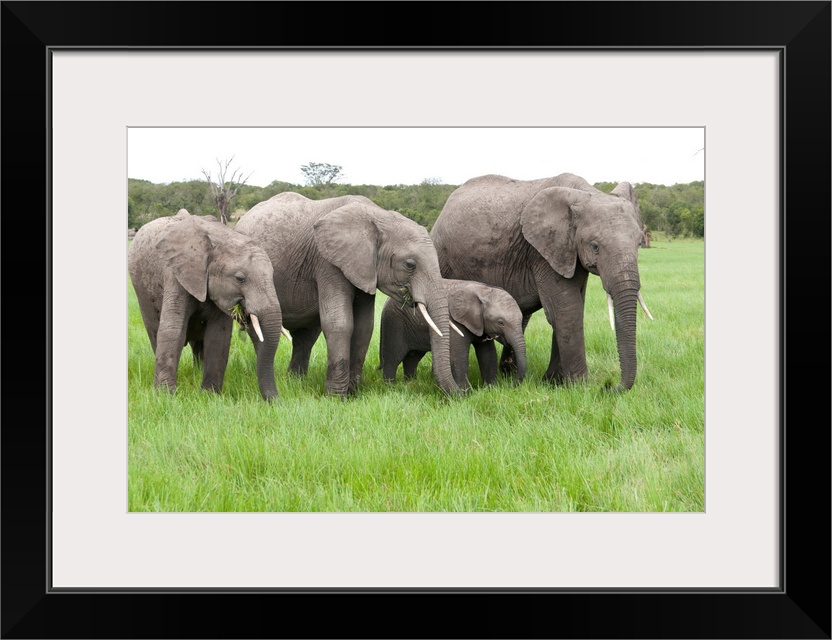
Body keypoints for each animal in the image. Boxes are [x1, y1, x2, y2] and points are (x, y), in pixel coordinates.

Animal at [128, 210, 286, 400]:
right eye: (240, 278)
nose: (277, 402)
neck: (220, 238)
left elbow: (218, 336)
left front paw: (209, 396)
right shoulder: (175, 274)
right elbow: (173, 330)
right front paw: (165, 396)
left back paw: (197, 372)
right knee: (155, 334)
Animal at [234, 191, 462, 396]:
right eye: (410, 265)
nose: (462, 394)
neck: (379, 217)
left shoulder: (364, 268)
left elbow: (364, 327)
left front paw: (352, 393)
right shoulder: (327, 261)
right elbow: (339, 323)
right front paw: (335, 397)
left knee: (307, 334)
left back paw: (295, 380)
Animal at [378, 276, 528, 390]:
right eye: (501, 322)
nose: (512, 385)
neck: (484, 291)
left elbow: (488, 354)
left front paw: (491, 389)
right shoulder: (454, 321)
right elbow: (459, 356)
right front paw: (467, 393)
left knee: (413, 357)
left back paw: (411, 383)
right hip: (394, 322)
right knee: (393, 358)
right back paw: (391, 388)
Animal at [432, 176, 652, 396]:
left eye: (639, 243)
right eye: (595, 246)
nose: (609, 387)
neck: (585, 193)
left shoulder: (568, 252)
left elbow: (572, 307)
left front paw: (553, 382)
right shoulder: (542, 251)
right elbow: (566, 310)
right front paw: (579, 387)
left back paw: (508, 372)